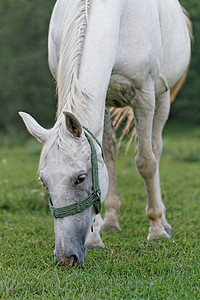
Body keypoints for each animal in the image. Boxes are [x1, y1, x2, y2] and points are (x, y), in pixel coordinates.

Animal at [18, 0, 191, 268]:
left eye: (80, 178)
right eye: (44, 182)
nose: (66, 258)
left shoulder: (144, 96)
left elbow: (146, 163)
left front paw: (156, 230)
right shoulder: (103, 98)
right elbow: (104, 158)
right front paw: (94, 237)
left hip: (162, 97)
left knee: (156, 149)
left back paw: (163, 222)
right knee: (109, 151)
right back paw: (109, 222)